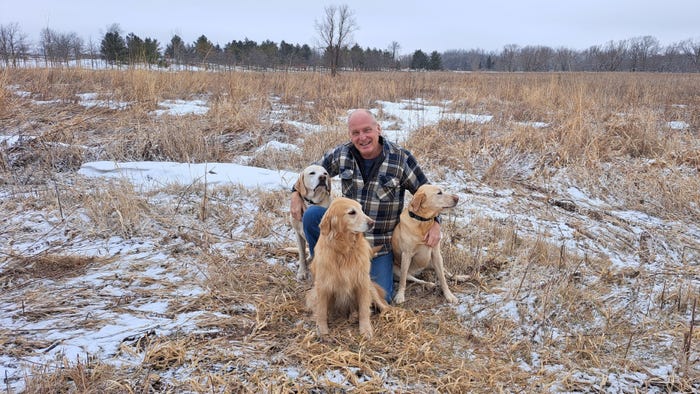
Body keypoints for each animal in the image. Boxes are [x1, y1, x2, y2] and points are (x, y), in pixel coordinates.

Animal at [306, 197, 392, 338]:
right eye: (352, 212)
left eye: (362, 209)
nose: (372, 223)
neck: (344, 250)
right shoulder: (323, 285)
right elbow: (322, 310)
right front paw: (322, 329)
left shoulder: (362, 282)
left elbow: (364, 309)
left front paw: (366, 329)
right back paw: (353, 316)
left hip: (371, 288)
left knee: (385, 306)